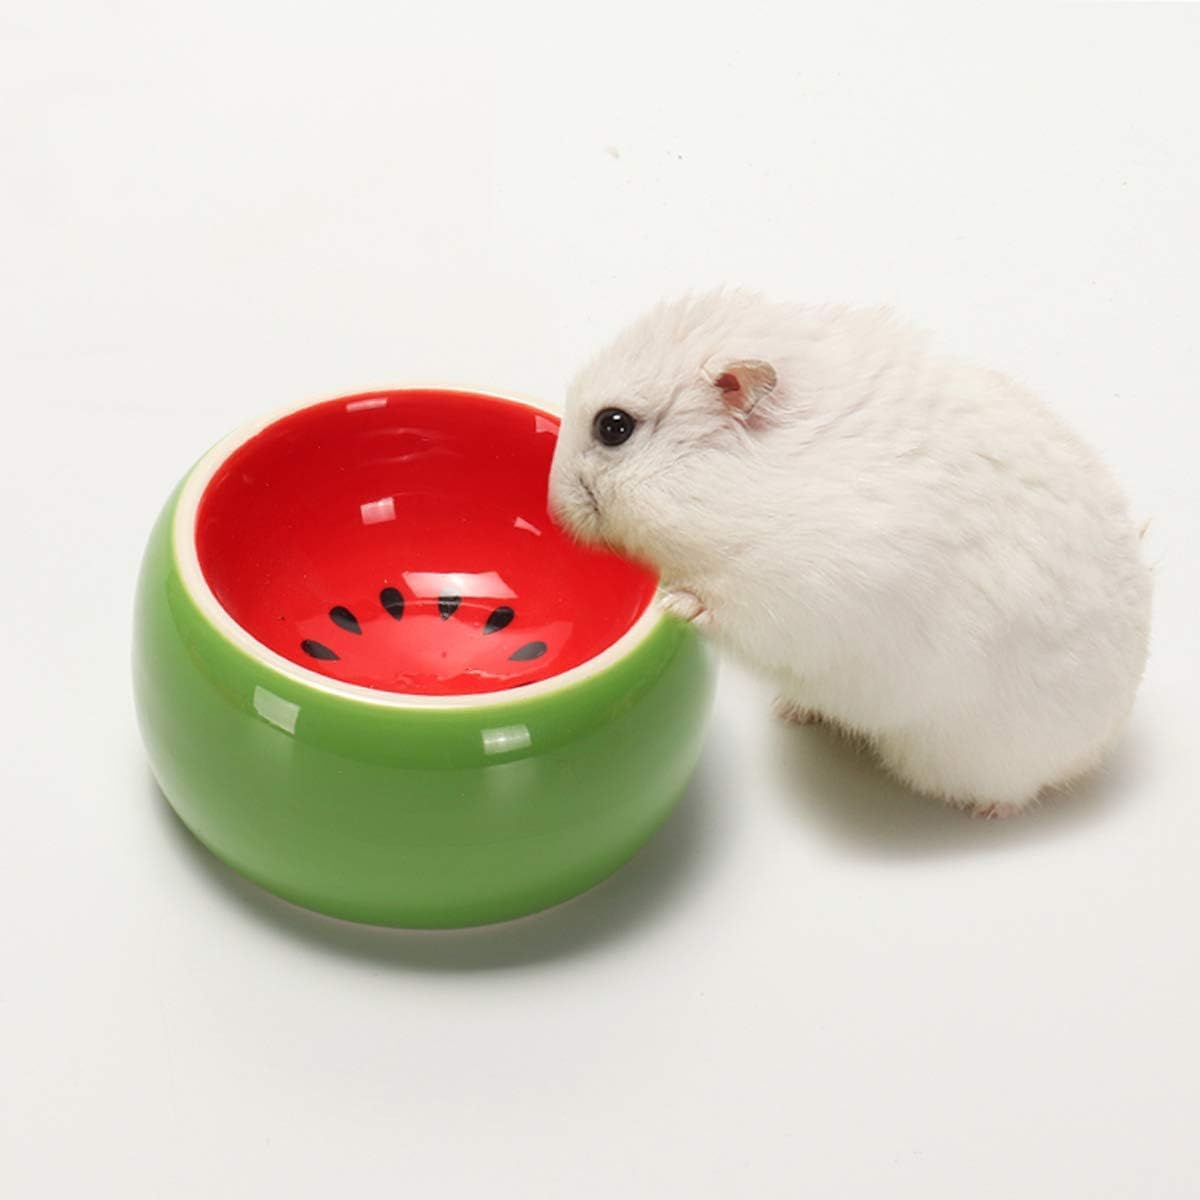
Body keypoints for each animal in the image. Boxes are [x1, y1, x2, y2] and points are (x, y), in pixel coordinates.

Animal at [547, 289, 1152, 817]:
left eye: (614, 426)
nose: (553, 511)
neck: (745, 487)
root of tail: (1105, 740)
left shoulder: (804, 596)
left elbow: (725, 607)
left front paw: (677, 603)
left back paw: (989, 811)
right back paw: (791, 711)